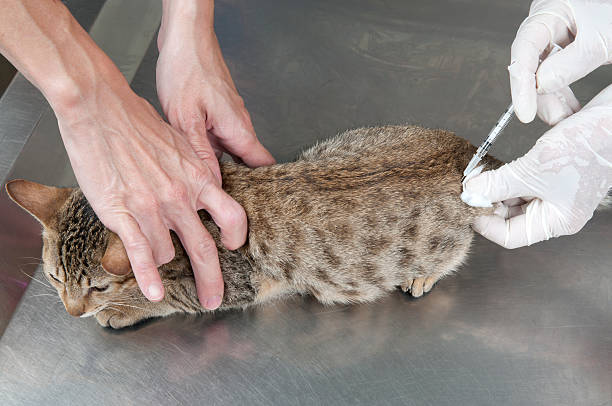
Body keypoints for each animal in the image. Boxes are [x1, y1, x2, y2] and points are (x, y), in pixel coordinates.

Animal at [5, 125, 502, 328]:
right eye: (53, 278)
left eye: (99, 288)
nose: (72, 312)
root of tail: (466, 153)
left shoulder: (229, 284)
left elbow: (171, 297)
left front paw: (127, 307)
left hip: (441, 238)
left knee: (458, 248)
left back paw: (423, 275)